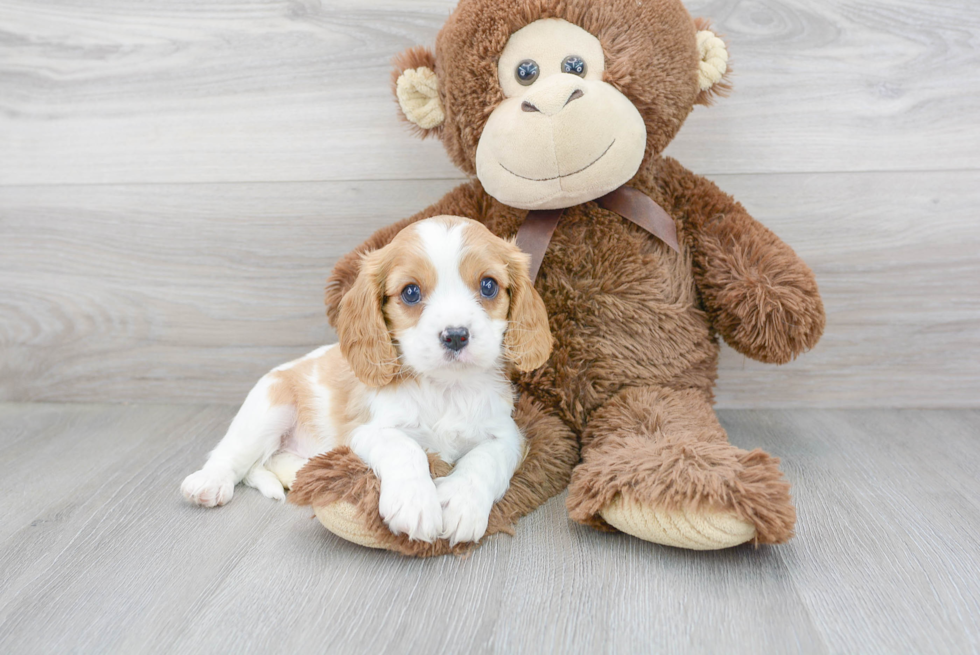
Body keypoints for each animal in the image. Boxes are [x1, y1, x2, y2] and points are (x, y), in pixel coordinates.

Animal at [182, 215, 552, 544]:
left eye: (488, 286)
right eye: (411, 292)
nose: (456, 335)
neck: (445, 388)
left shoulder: (508, 435)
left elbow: (485, 459)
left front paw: (461, 501)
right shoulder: (370, 431)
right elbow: (405, 448)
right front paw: (416, 502)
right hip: (269, 408)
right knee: (231, 455)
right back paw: (209, 483)